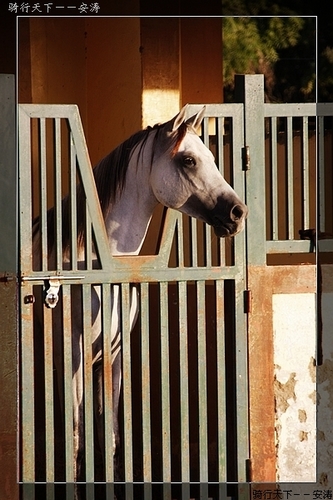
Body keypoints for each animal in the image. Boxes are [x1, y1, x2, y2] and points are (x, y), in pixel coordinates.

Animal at [33, 105, 246, 492]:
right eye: (189, 160)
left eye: (211, 157)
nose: (238, 213)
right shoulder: (73, 360)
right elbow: (77, 439)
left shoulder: (112, 357)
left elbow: (113, 438)